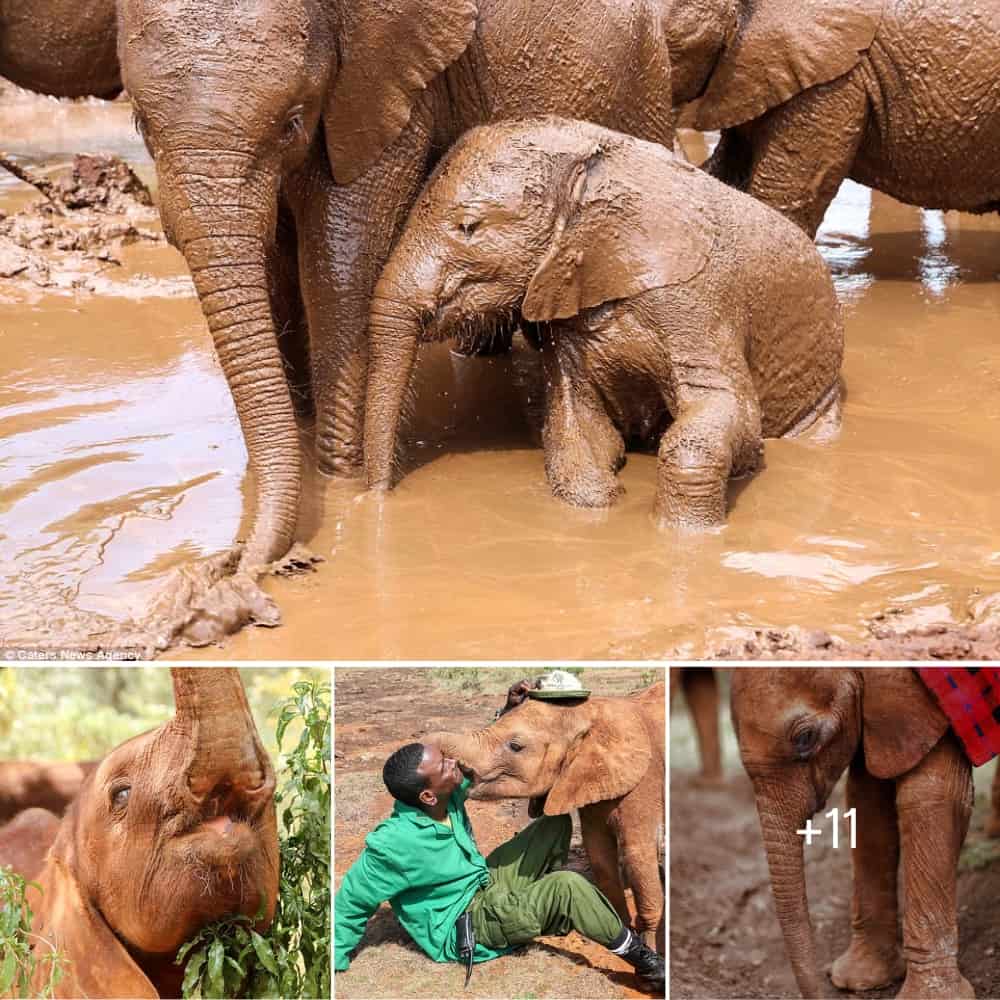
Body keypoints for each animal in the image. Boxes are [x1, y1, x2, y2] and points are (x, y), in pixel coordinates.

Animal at [117, 0, 675, 644]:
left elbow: (340, 263)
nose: (237, 579)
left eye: (292, 122)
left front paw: (344, 484)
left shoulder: (385, 82)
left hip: (639, 86)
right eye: (140, 125)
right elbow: (277, 266)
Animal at [363, 118, 843, 526]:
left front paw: (685, 537)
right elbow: (579, 426)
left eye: (469, 226)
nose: (375, 499)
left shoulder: (698, 301)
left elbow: (733, 419)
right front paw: (601, 506)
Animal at [428, 681, 665, 952]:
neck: (586, 714)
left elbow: (637, 855)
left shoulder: (644, 780)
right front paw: (621, 927)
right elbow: (599, 854)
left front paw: (650, 946)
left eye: (515, 746)